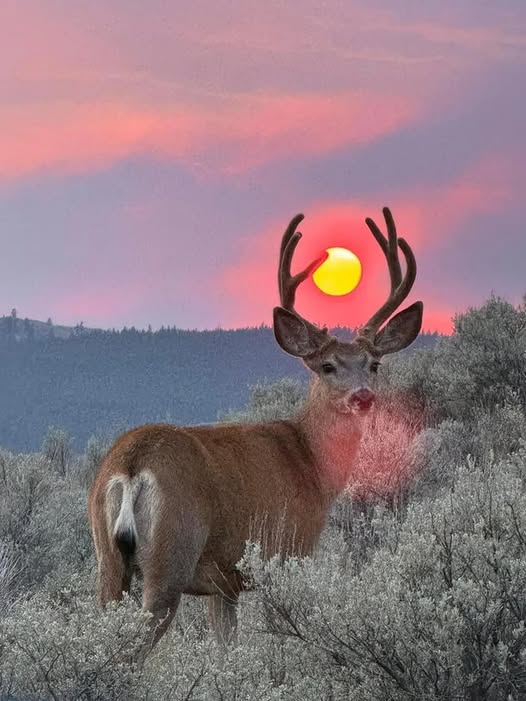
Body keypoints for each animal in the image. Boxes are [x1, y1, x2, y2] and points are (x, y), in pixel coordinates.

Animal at [88, 206, 423, 659]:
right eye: (327, 366)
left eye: (373, 364)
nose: (363, 397)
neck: (311, 463)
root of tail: (130, 466)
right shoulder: (286, 552)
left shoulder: (223, 584)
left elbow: (225, 649)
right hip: (170, 555)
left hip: (108, 561)